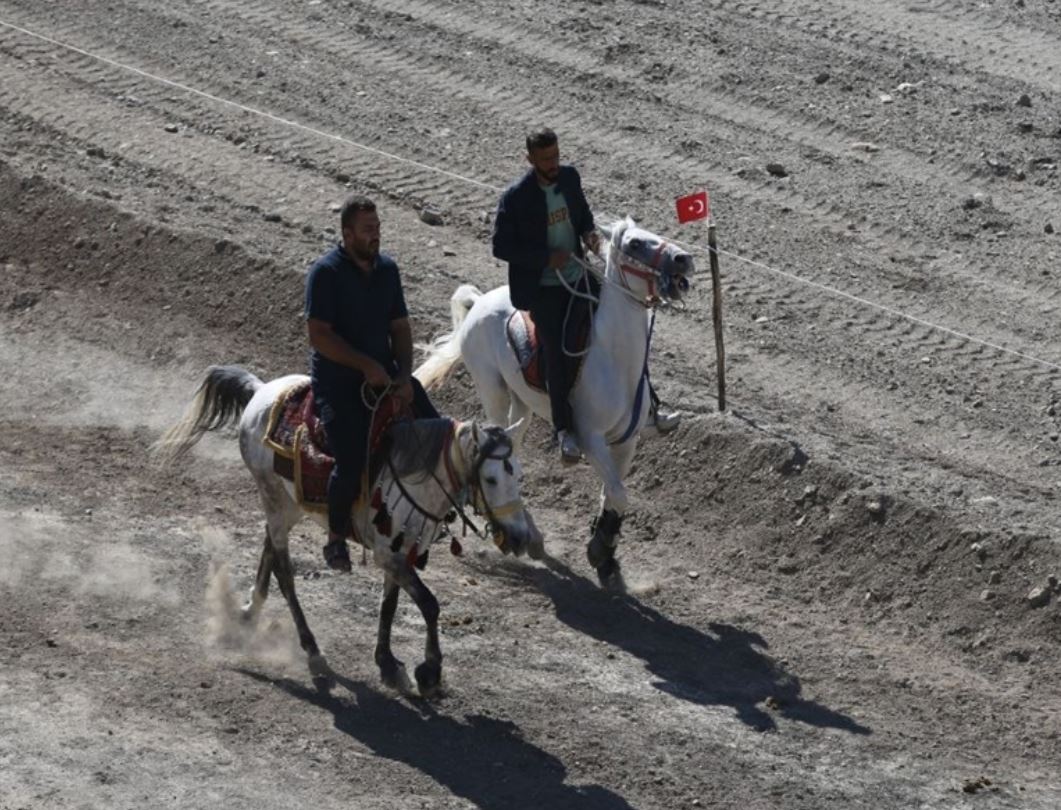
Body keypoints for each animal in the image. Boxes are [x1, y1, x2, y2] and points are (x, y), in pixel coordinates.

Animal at [153, 367, 543, 696]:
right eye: (490, 478)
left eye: (519, 476)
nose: (519, 537)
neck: (416, 474)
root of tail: (261, 390)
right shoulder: (388, 553)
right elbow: (429, 604)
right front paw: (429, 672)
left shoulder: (400, 549)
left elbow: (390, 606)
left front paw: (389, 665)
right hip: (274, 498)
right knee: (285, 572)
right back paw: (312, 652)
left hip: (287, 503)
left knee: (269, 545)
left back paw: (249, 612)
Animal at [413, 219, 696, 590]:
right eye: (635, 244)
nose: (683, 259)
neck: (617, 360)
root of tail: (479, 302)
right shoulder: (590, 439)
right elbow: (618, 493)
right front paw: (598, 550)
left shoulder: (627, 441)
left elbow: (613, 494)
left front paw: (606, 555)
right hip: (492, 391)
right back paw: (525, 537)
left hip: (521, 405)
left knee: (513, 450)